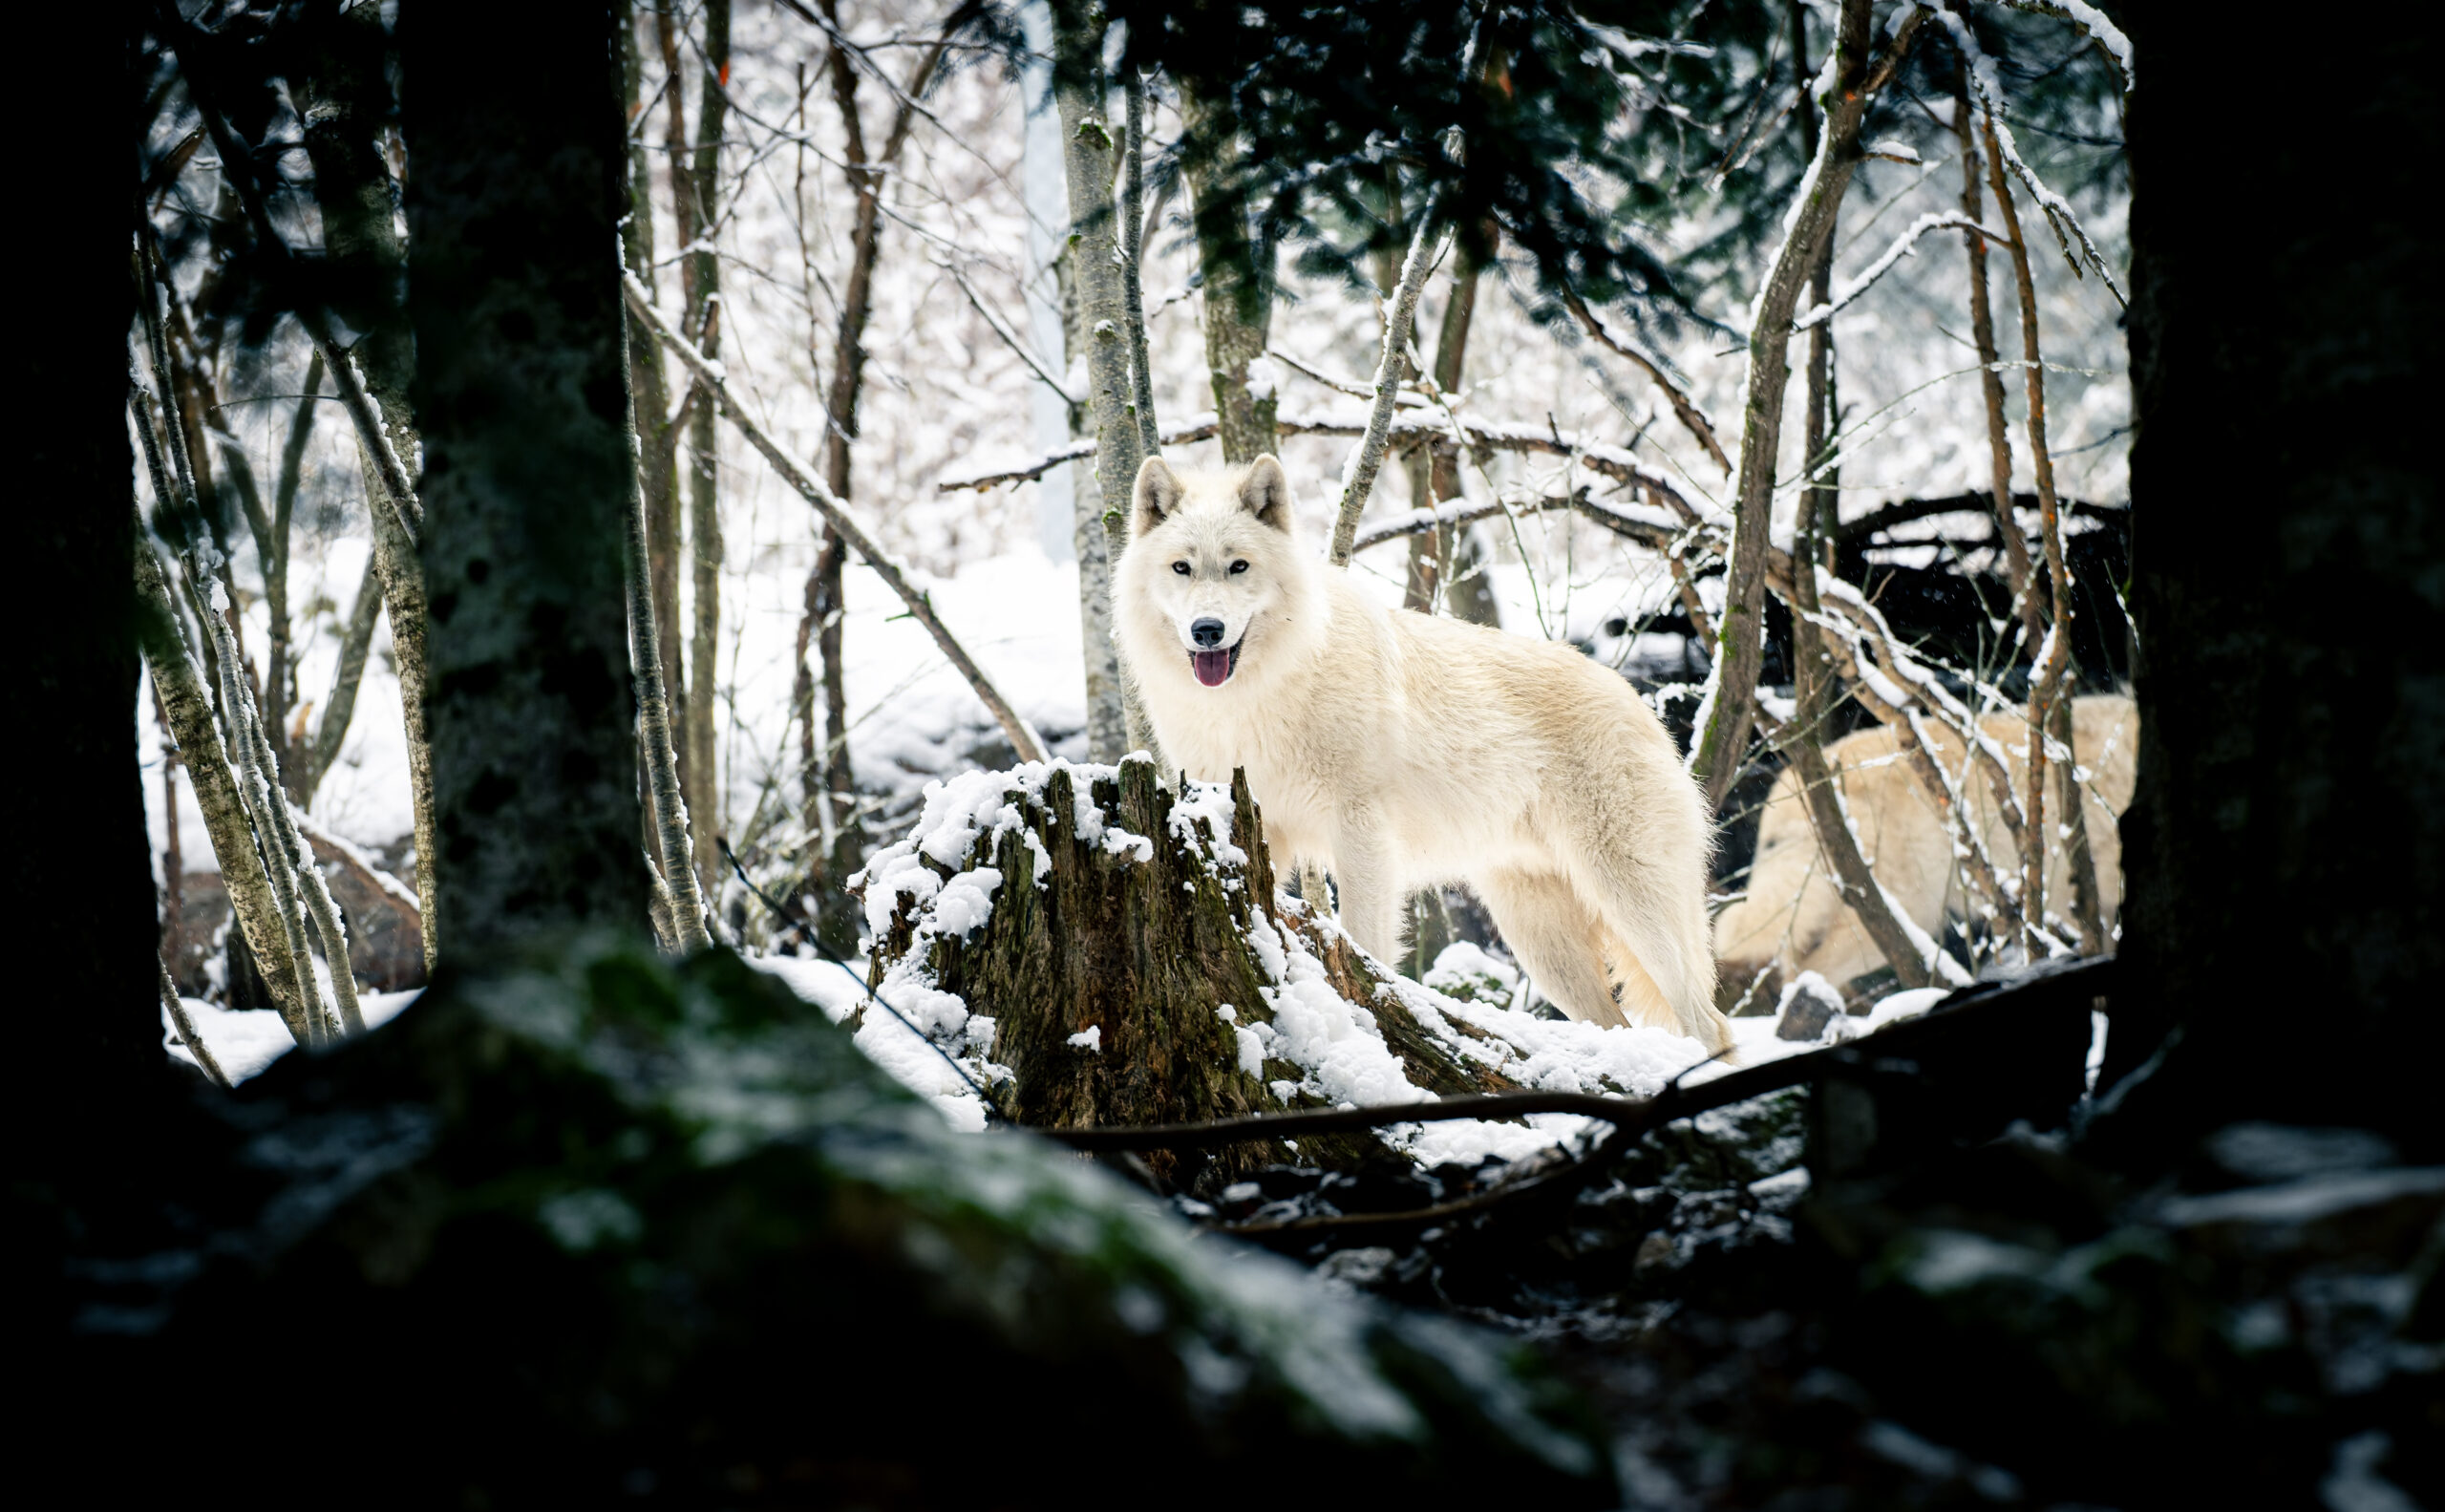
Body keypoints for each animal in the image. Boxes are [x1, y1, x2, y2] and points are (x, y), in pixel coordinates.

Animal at [1112, 454, 1731, 1054]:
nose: (1207, 630)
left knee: (1711, 1025)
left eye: (1238, 566)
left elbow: (1364, 944)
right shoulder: (1258, 828)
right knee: (1620, 1027)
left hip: (1630, 907)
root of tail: (1640, 706)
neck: (1259, 697)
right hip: (1543, 945)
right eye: (1182, 568)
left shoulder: (1361, 831)